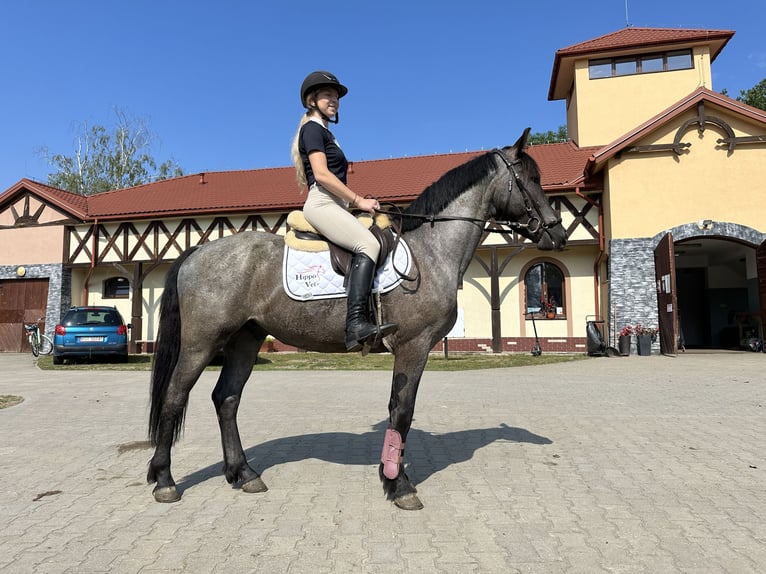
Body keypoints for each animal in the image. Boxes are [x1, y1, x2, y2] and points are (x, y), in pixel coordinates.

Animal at [147, 128, 568, 510]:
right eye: (530, 179)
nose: (558, 235)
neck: (432, 253)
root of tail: (197, 252)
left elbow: (399, 411)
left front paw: (391, 477)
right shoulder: (414, 346)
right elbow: (402, 410)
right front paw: (398, 485)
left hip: (245, 339)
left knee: (227, 398)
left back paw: (243, 473)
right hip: (202, 342)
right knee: (175, 397)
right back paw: (165, 481)